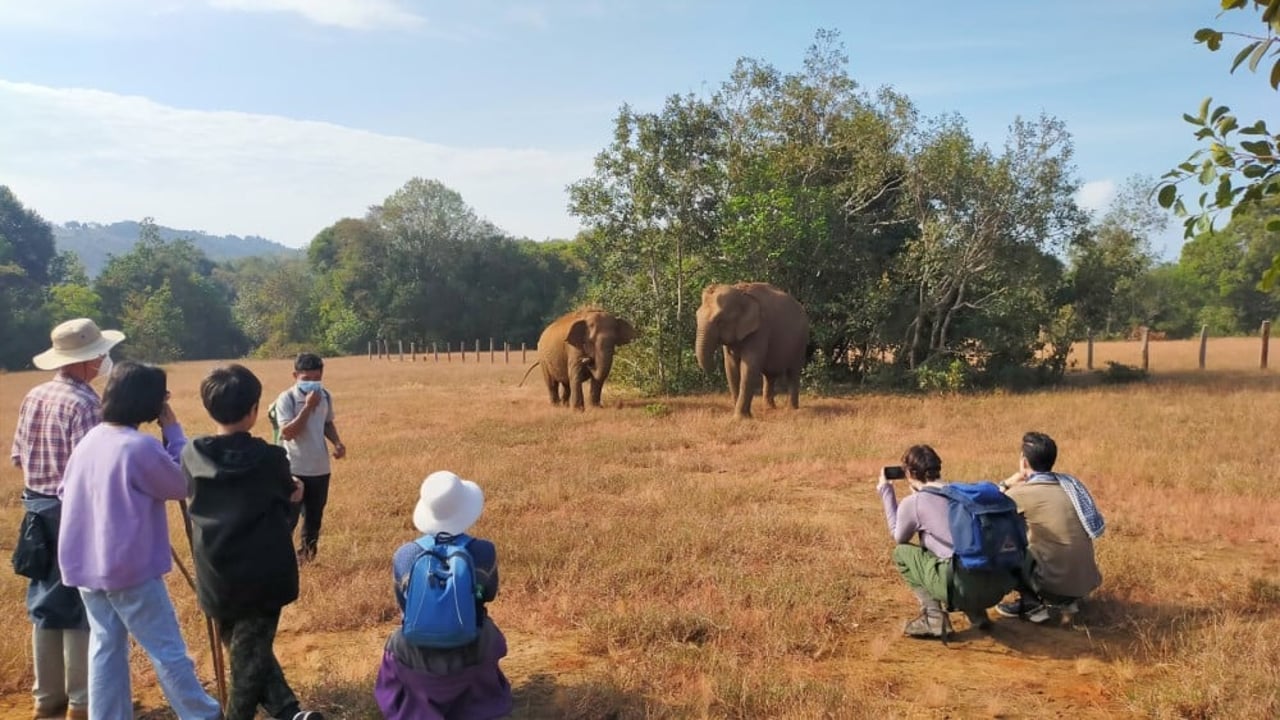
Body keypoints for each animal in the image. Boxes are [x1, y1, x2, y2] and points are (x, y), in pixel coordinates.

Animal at [701, 279, 808, 415]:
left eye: (719, 320)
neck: (741, 293)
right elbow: (731, 366)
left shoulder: (760, 329)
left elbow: (749, 366)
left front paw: (740, 417)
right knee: (769, 376)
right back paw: (770, 408)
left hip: (801, 341)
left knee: (793, 372)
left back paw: (791, 409)